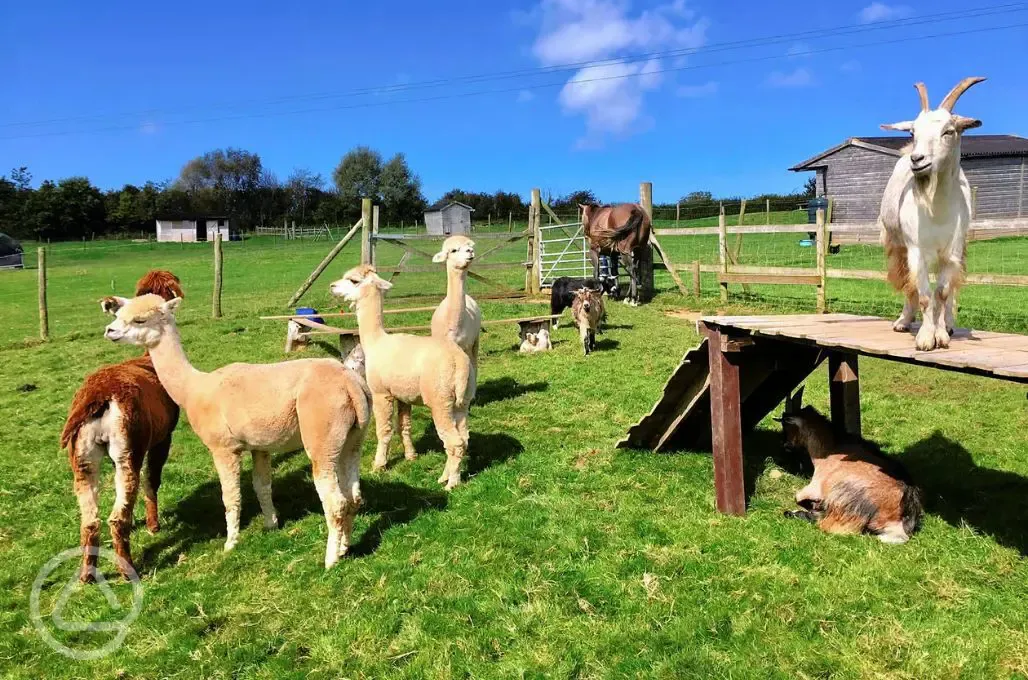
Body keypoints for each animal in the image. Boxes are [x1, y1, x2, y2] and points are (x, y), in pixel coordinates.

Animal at [61, 267, 184, 580]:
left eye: (134, 317)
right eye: (122, 315)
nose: (111, 330)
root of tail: (98, 395)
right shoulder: (163, 437)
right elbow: (152, 480)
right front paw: (153, 526)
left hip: (82, 455)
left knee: (89, 521)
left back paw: (87, 575)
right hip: (128, 446)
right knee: (117, 516)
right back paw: (127, 569)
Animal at [777, 388, 925, 543]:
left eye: (786, 426)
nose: (785, 444)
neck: (831, 449)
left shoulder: (815, 485)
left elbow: (798, 496)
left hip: (845, 499)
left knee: (828, 524)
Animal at [879, 77, 982, 347]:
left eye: (949, 131)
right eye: (913, 132)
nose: (918, 160)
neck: (936, 210)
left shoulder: (952, 250)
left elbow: (943, 292)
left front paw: (941, 334)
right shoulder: (915, 249)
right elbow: (924, 293)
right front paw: (926, 337)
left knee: (952, 286)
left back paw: (948, 323)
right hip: (899, 245)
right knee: (909, 284)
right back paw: (904, 321)